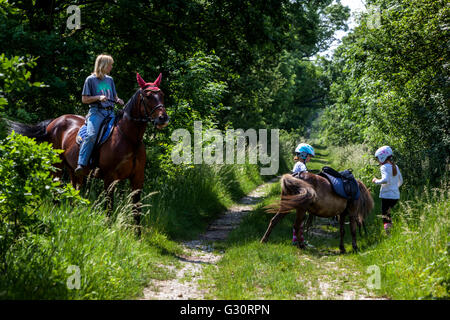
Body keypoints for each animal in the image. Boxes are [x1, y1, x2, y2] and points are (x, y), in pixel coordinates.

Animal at [8, 74, 171, 231]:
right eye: (148, 96)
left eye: (162, 94)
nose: (163, 118)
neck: (130, 138)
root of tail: (53, 122)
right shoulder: (110, 178)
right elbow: (109, 207)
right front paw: (109, 231)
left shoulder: (137, 178)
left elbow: (137, 211)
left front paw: (137, 237)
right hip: (57, 167)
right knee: (56, 192)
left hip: (74, 171)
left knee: (74, 192)